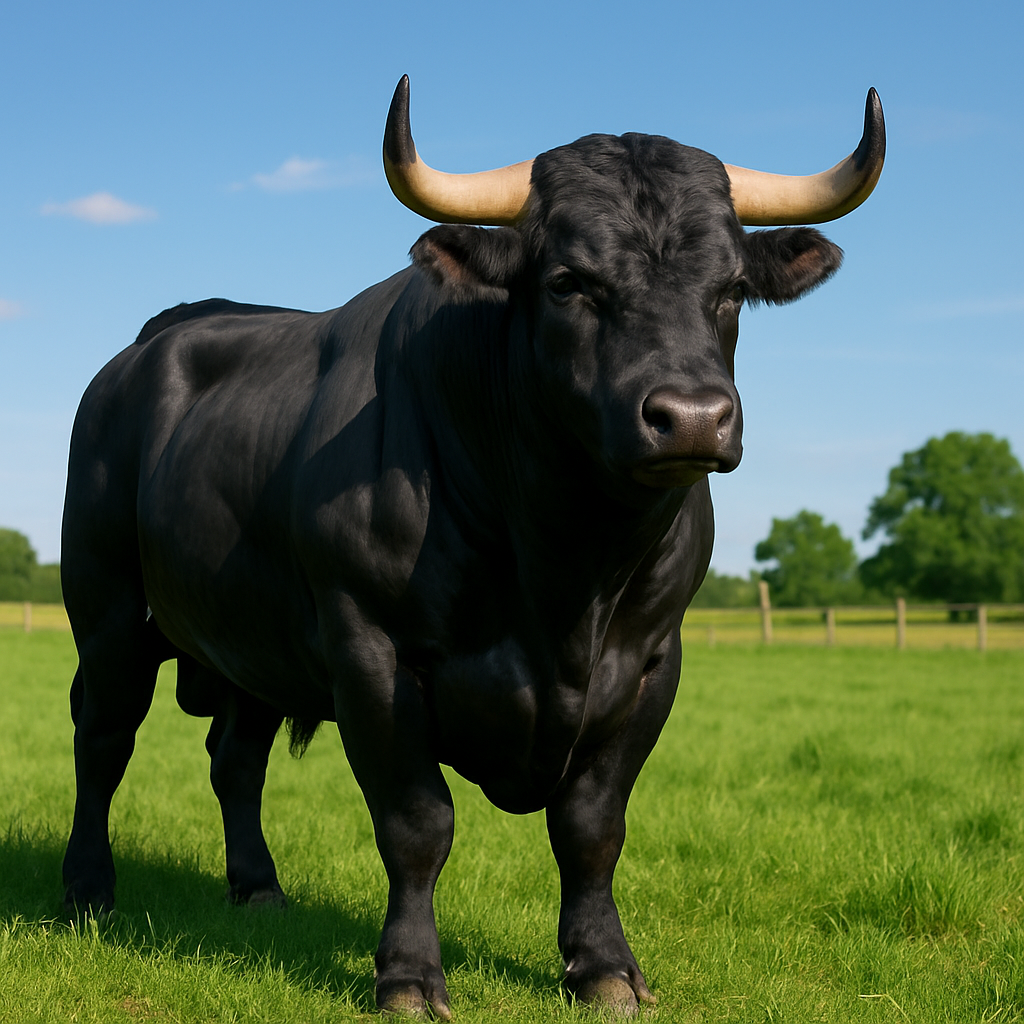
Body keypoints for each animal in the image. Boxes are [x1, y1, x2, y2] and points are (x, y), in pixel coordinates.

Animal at [61, 76, 884, 1018]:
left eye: (734, 287)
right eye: (567, 282)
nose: (692, 417)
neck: (567, 572)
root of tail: (151, 344)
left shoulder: (652, 661)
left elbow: (593, 826)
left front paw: (603, 967)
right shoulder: (371, 652)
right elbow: (418, 824)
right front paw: (409, 976)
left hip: (251, 643)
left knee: (235, 759)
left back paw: (259, 889)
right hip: (108, 611)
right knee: (102, 739)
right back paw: (87, 892)